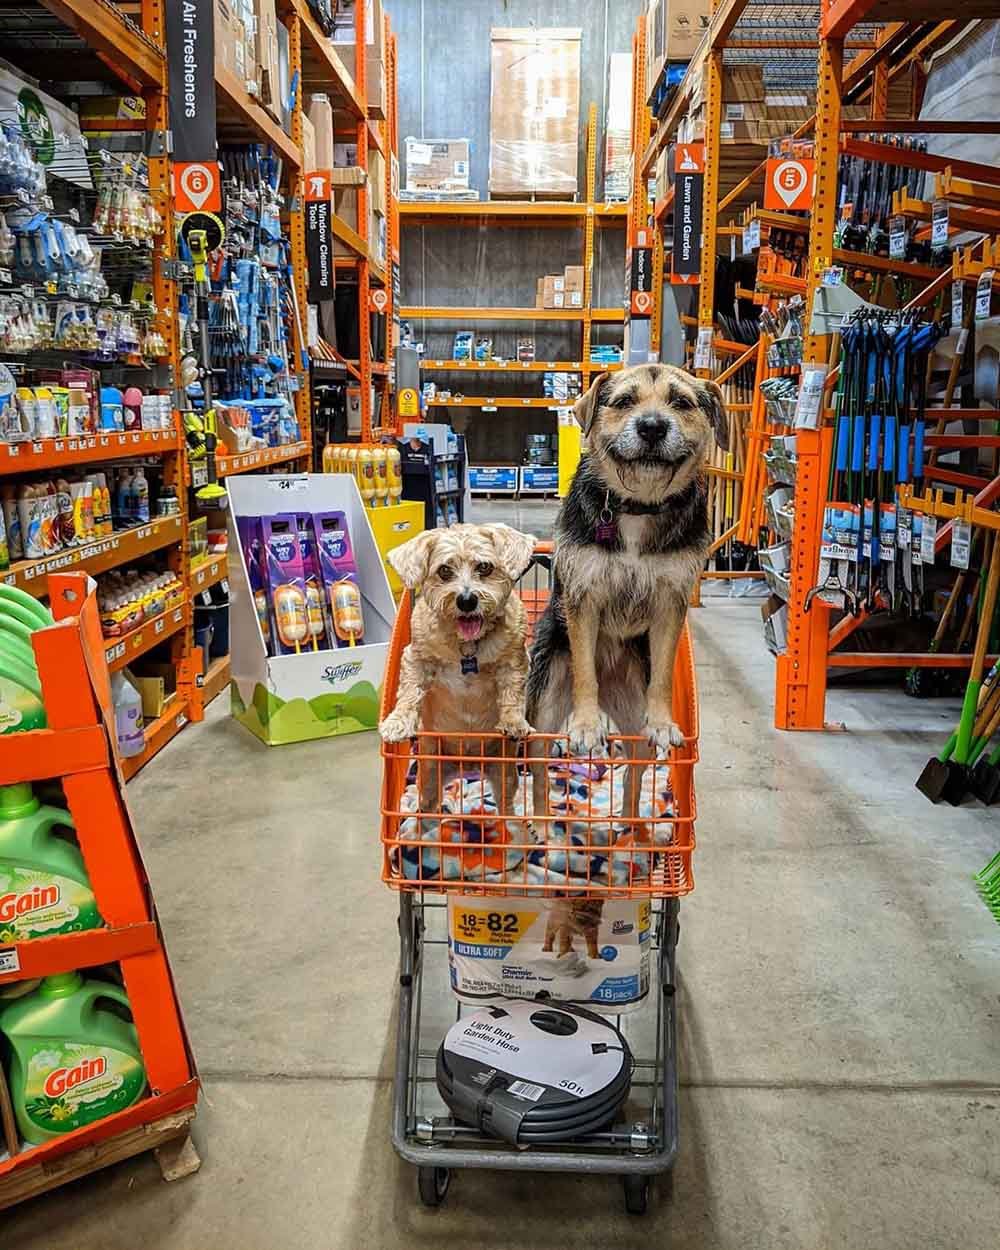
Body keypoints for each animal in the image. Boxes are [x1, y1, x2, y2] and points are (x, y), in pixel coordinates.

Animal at [377, 520, 535, 820]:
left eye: (484, 567)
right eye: (444, 571)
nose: (466, 600)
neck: (467, 646)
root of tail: (469, 764)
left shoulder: (514, 660)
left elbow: (512, 694)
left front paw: (513, 722)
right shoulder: (416, 658)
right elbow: (409, 693)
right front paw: (398, 722)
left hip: (505, 775)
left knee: (506, 807)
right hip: (429, 773)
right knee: (427, 805)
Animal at [530, 357, 725, 815]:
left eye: (680, 402)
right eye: (623, 402)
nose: (652, 427)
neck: (638, 506)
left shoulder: (671, 604)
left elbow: (664, 674)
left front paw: (664, 720)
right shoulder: (583, 600)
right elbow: (584, 669)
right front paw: (586, 726)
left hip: (633, 720)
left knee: (633, 776)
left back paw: (631, 826)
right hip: (544, 710)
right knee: (540, 774)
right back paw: (539, 824)